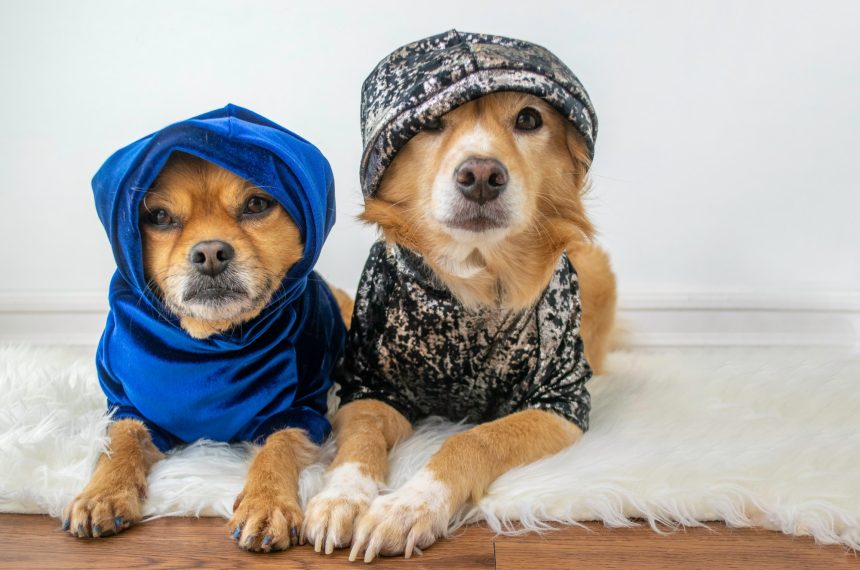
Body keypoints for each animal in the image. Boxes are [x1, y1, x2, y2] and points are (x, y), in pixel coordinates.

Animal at [62, 103, 350, 552]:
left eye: (256, 204)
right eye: (160, 217)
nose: (211, 252)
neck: (211, 347)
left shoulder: (301, 410)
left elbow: (277, 450)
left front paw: (267, 504)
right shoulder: (127, 407)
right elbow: (120, 444)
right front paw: (103, 494)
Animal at [298, 31, 616, 560]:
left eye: (529, 119)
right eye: (430, 123)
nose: (482, 175)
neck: (476, 281)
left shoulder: (560, 400)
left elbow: (474, 440)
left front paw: (409, 507)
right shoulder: (370, 388)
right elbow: (359, 445)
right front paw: (340, 497)